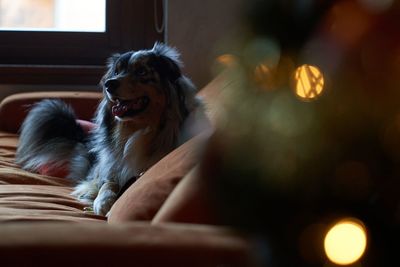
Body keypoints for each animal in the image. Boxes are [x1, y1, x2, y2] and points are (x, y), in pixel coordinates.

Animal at [15, 43, 206, 217]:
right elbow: (107, 184)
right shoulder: (110, 169)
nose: (109, 84)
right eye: (116, 72)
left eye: (142, 71)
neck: (138, 131)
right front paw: (103, 201)